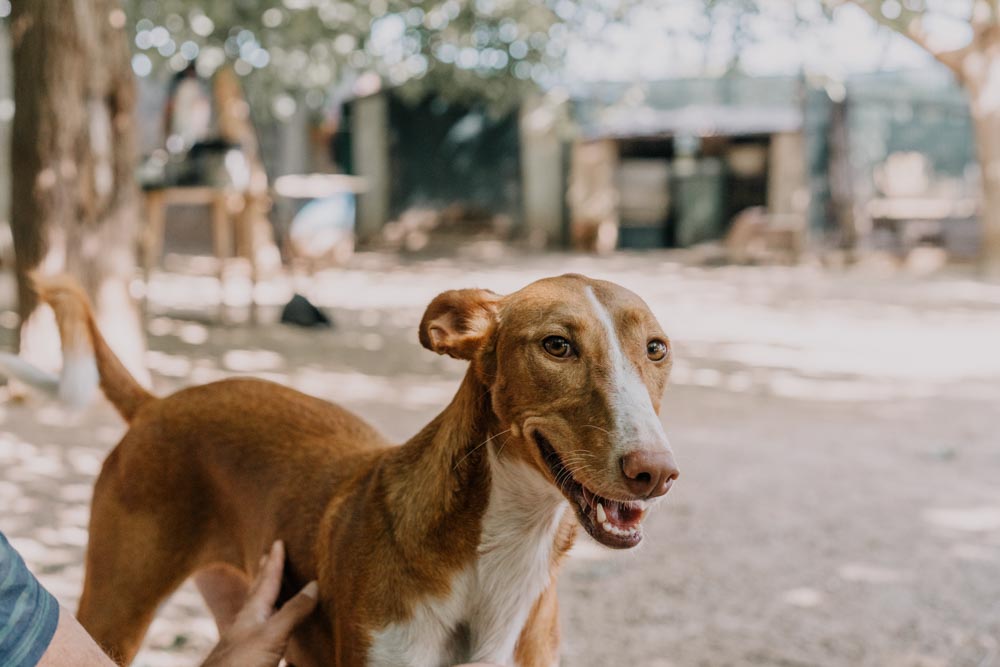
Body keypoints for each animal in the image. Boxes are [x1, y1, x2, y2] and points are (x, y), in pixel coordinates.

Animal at [15, 274, 680, 664]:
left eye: (656, 349)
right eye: (556, 346)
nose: (657, 471)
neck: (499, 559)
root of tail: (158, 403)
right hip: (115, 608)